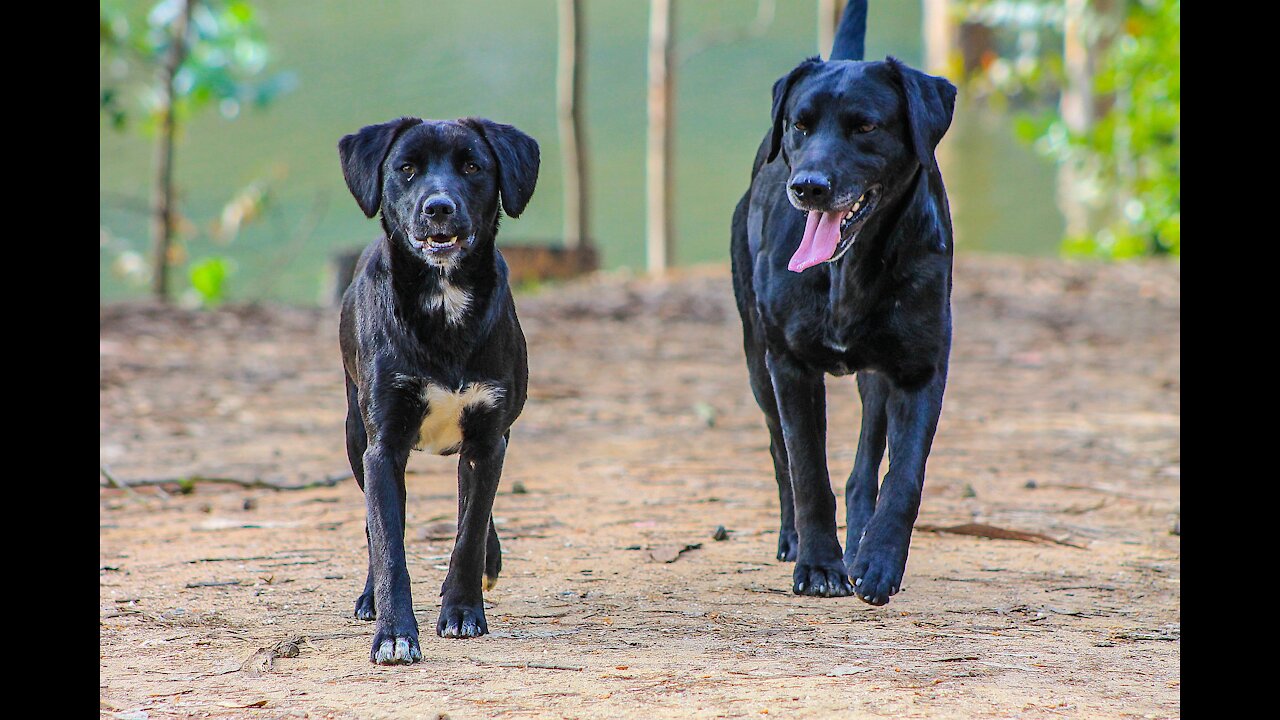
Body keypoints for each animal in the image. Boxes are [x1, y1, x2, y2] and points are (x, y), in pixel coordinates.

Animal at [335, 116, 535, 661]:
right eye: (406, 168)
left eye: (472, 166)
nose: (438, 206)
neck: (443, 300)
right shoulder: (382, 447)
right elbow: (388, 543)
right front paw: (395, 633)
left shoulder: (488, 438)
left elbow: (469, 531)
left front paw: (463, 610)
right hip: (354, 435)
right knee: (374, 526)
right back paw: (369, 598)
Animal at [727, 0, 957, 604]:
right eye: (799, 125)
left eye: (867, 126)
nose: (807, 186)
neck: (847, 272)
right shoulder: (788, 365)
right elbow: (807, 470)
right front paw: (817, 565)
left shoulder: (919, 370)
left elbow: (903, 477)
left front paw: (877, 562)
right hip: (756, 358)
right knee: (780, 454)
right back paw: (795, 540)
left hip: (876, 376)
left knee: (861, 472)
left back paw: (858, 545)